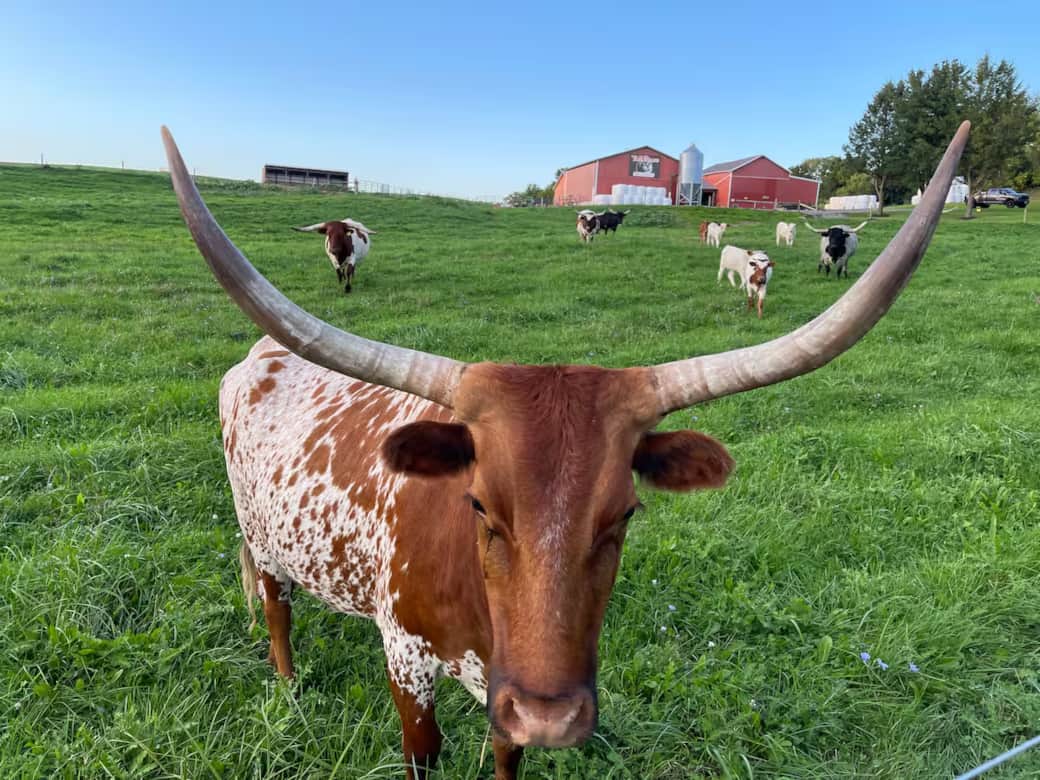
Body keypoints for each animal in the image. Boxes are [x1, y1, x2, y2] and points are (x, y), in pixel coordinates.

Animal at [161, 121, 967, 780]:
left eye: (626, 514)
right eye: (478, 505)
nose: (552, 718)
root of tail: (262, 352)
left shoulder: (506, 687)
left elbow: (506, 755)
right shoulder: (408, 663)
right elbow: (422, 753)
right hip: (262, 540)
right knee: (276, 611)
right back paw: (289, 687)